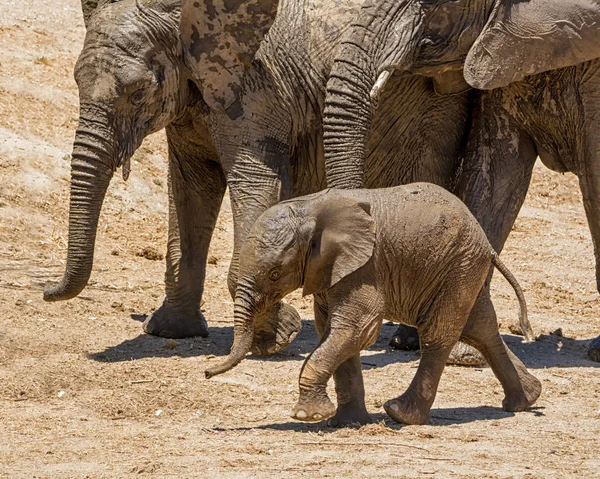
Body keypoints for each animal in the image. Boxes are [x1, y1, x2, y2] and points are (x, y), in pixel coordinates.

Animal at [45, 0, 474, 352]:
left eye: (137, 93)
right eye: (76, 81)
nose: (47, 290)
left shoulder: (256, 90)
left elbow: (257, 183)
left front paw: (273, 339)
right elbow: (189, 189)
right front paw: (171, 331)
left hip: (436, 109)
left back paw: (412, 340)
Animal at [206, 186, 540, 426]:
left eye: (275, 274)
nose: (207, 373)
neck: (310, 207)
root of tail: (486, 243)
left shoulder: (365, 267)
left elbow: (358, 328)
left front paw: (308, 416)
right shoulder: (330, 270)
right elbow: (333, 330)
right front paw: (347, 423)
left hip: (457, 266)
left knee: (438, 335)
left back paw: (400, 414)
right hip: (462, 269)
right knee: (480, 328)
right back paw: (525, 400)